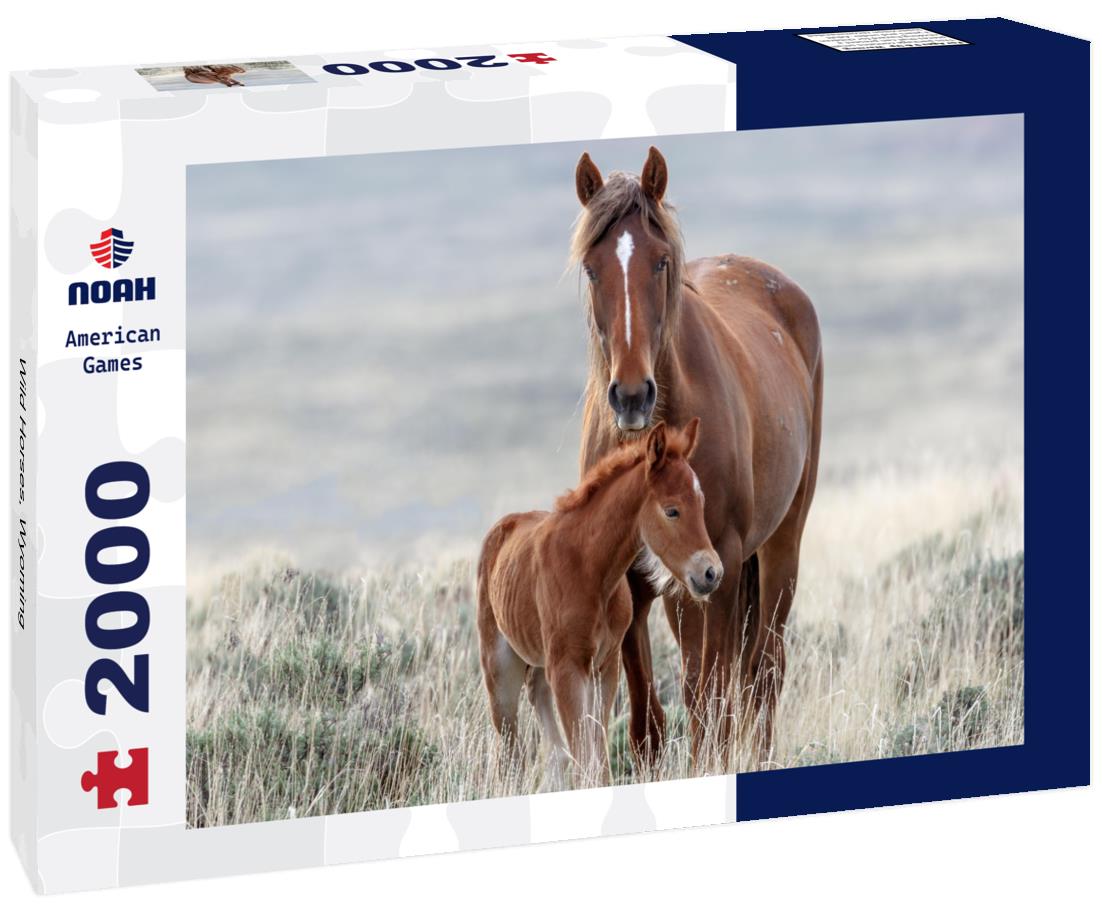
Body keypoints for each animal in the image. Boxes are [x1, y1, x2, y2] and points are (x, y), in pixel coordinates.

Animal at [476, 419, 721, 787]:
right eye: (672, 510)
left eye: (702, 503)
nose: (711, 573)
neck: (590, 570)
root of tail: (502, 528)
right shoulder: (567, 668)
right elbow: (585, 757)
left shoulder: (604, 667)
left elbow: (597, 758)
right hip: (501, 669)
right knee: (510, 747)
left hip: (541, 664)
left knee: (545, 722)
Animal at [571, 146, 823, 769]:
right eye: (591, 268)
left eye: (661, 263)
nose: (631, 395)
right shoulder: (633, 577)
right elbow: (648, 717)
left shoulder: (722, 563)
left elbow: (710, 697)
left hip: (778, 547)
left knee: (761, 671)